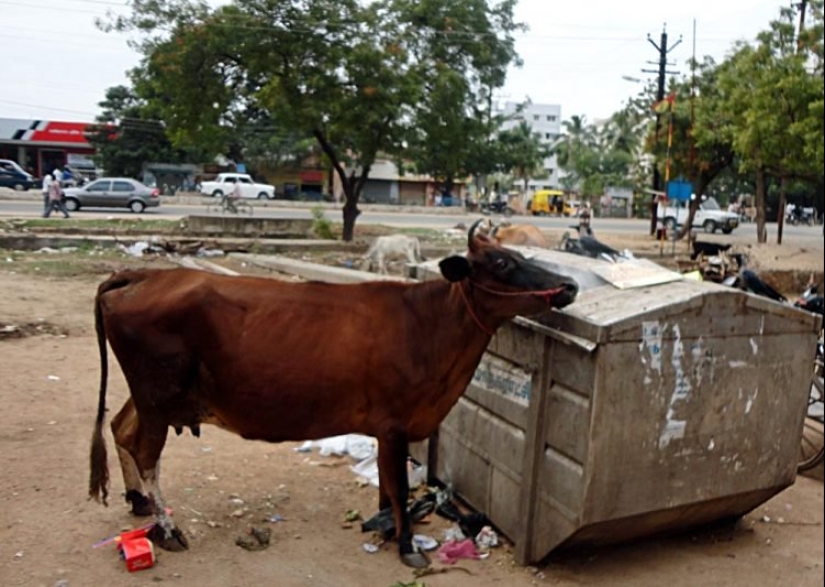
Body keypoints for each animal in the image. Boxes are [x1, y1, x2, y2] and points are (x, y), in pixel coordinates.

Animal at [90, 218, 576, 568]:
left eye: (517, 253)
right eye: (502, 264)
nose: (569, 285)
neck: (429, 324)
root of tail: (141, 274)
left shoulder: (386, 428)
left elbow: (385, 484)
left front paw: (385, 528)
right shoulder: (394, 423)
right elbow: (399, 485)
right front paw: (406, 544)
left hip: (151, 397)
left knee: (122, 429)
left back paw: (139, 506)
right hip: (157, 396)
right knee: (146, 453)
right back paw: (168, 529)